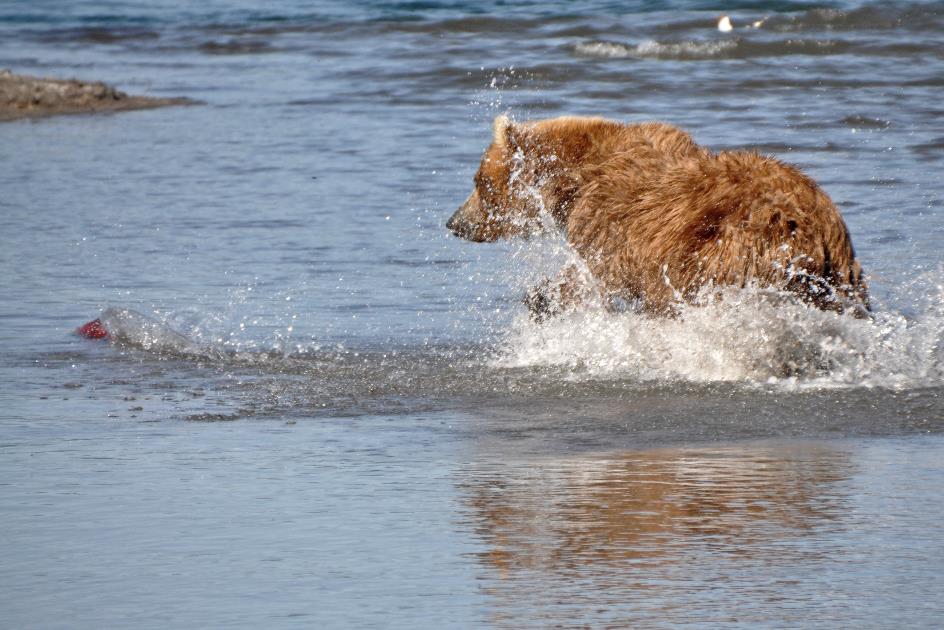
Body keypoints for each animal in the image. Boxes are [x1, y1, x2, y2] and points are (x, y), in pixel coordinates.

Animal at [450, 114, 872, 318]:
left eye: (479, 182)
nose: (454, 222)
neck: (571, 182)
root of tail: (816, 226)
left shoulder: (611, 218)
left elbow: (595, 274)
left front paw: (542, 299)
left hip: (733, 245)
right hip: (841, 273)